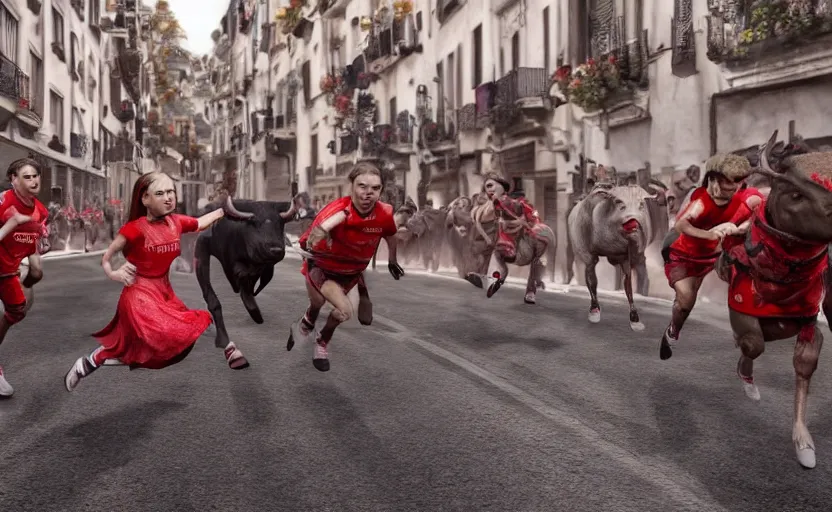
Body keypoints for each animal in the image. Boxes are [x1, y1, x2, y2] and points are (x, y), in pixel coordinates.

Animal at [195, 198, 316, 350]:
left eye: (280, 223)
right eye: (254, 222)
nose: (275, 250)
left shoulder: (260, 265)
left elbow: (250, 283)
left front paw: (254, 311)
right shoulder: (203, 244)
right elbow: (212, 298)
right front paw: (222, 339)